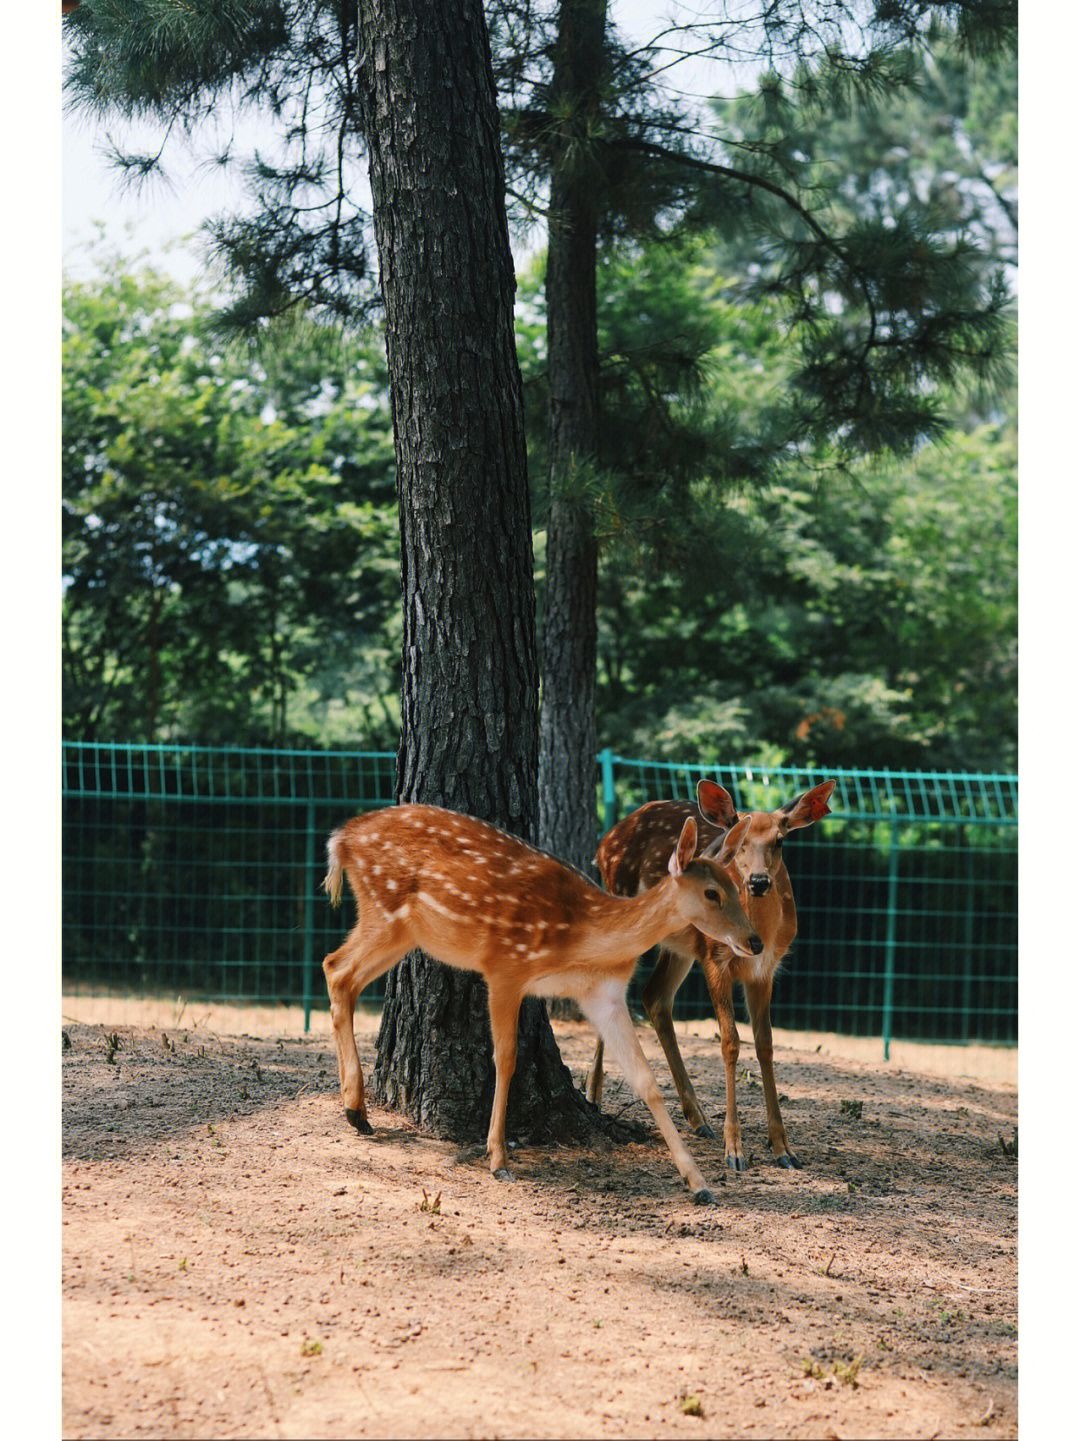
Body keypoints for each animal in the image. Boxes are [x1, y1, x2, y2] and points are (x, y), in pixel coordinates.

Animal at [320, 806, 755, 1198]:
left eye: (738, 887)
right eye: (712, 893)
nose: (754, 941)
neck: (582, 940)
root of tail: (340, 839)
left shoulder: (605, 995)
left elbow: (645, 1080)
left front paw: (698, 1182)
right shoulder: (505, 966)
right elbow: (506, 1057)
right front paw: (498, 1160)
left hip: (402, 930)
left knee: (338, 972)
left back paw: (356, 1110)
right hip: (385, 911)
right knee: (335, 966)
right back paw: (356, 1107)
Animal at [585, 778, 830, 1170]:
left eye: (780, 839)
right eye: (738, 837)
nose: (759, 880)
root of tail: (605, 840)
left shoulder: (766, 970)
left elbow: (765, 1044)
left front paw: (783, 1148)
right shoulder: (715, 957)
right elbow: (730, 1041)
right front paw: (734, 1150)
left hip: (679, 947)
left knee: (654, 997)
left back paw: (697, 1118)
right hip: (624, 908)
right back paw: (592, 1094)